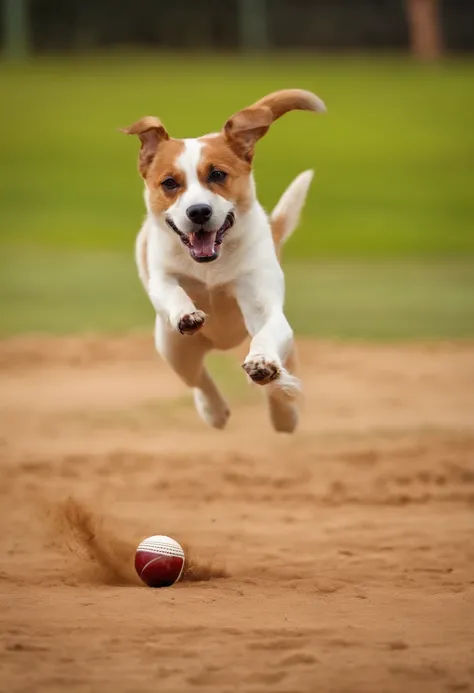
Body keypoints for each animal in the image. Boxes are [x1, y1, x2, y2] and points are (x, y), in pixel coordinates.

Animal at [121, 89, 326, 430]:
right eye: (169, 183)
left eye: (217, 174)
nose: (198, 211)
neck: (211, 268)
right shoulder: (161, 277)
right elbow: (171, 290)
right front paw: (186, 313)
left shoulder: (261, 302)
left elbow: (266, 333)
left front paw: (262, 362)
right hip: (174, 349)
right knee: (198, 379)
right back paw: (214, 411)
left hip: (284, 347)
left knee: (279, 384)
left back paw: (284, 413)